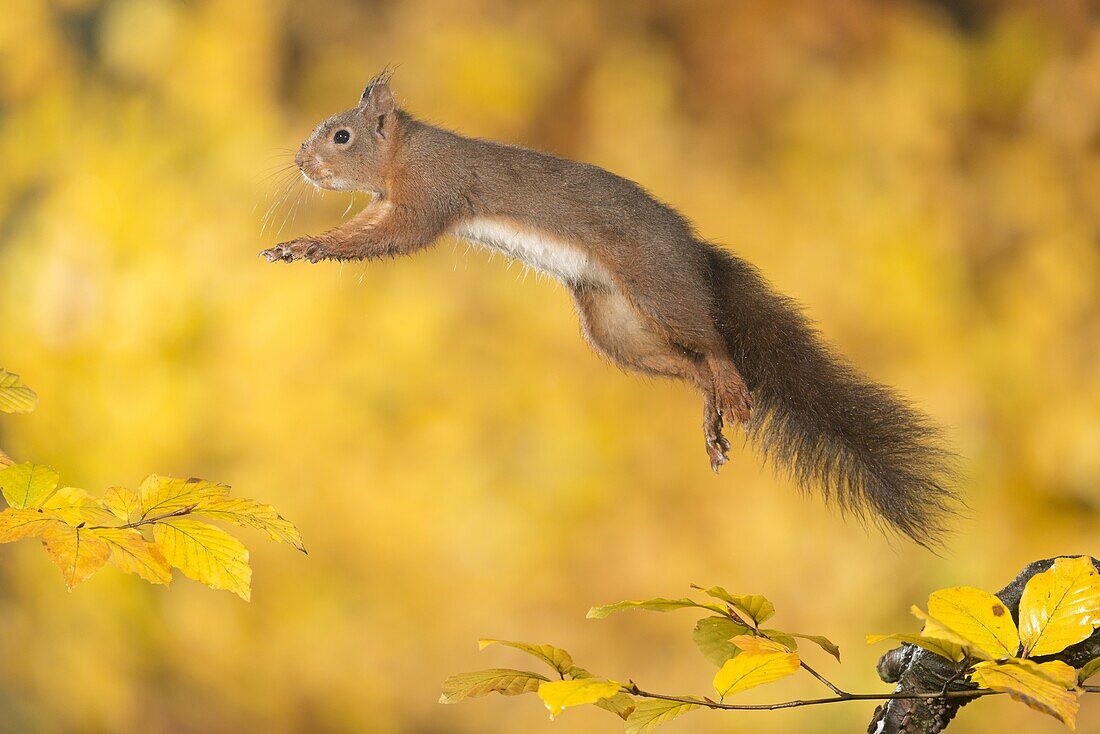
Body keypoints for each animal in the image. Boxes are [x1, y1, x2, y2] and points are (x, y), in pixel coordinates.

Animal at [261, 71, 959, 545]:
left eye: (341, 135)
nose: (300, 162)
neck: (405, 152)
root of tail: (694, 252)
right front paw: (299, 245)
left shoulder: (430, 196)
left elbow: (393, 235)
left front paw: (313, 245)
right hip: (617, 327)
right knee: (689, 367)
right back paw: (711, 420)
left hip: (656, 289)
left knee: (713, 345)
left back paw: (731, 391)